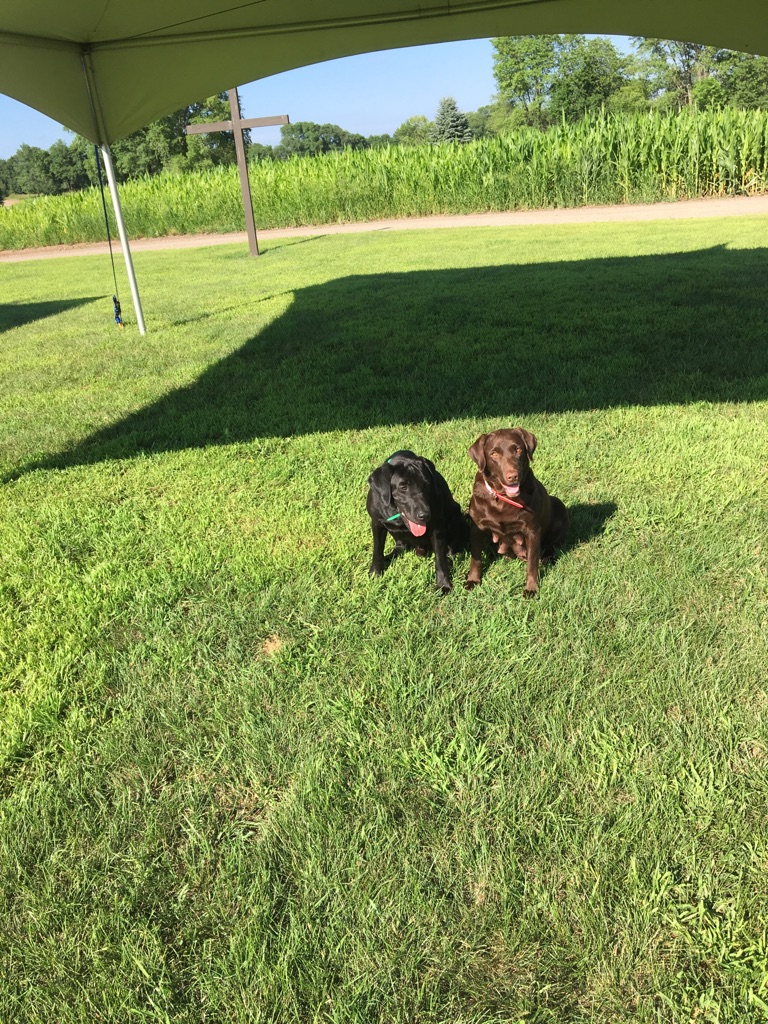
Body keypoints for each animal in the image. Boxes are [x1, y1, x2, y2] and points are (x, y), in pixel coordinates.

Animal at [366, 452, 468, 598]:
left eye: (426, 485)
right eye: (403, 487)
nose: (425, 515)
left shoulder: (437, 528)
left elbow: (440, 560)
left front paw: (443, 585)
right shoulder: (376, 523)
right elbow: (377, 551)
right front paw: (375, 572)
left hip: (456, 518)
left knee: (450, 551)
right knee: (401, 546)